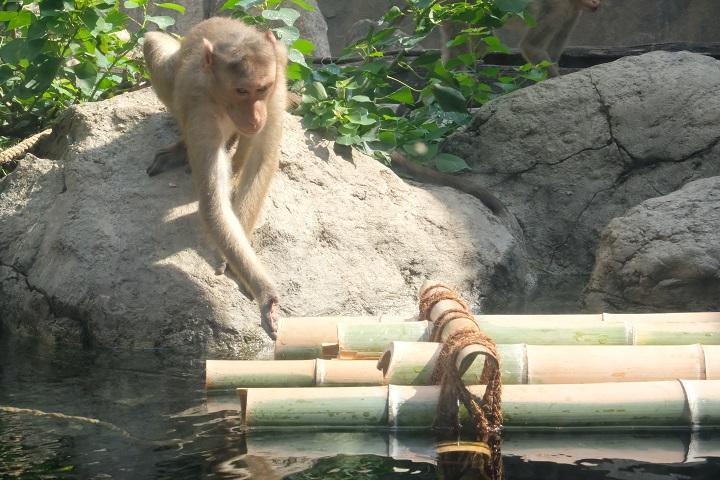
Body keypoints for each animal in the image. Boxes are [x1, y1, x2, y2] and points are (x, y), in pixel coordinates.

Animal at [143, 18, 286, 340]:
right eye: (242, 91)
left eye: (262, 88)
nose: (254, 116)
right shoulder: (202, 114)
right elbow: (213, 205)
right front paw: (265, 292)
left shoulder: (277, 92)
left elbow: (262, 160)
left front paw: (236, 265)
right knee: (152, 43)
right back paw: (184, 149)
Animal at [438, 0, 600, 76]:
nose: (596, 2)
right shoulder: (557, 7)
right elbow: (531, 47)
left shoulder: (572, 13)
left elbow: (551, 54)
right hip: (456, 6)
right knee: (460, 48)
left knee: (481, 43)